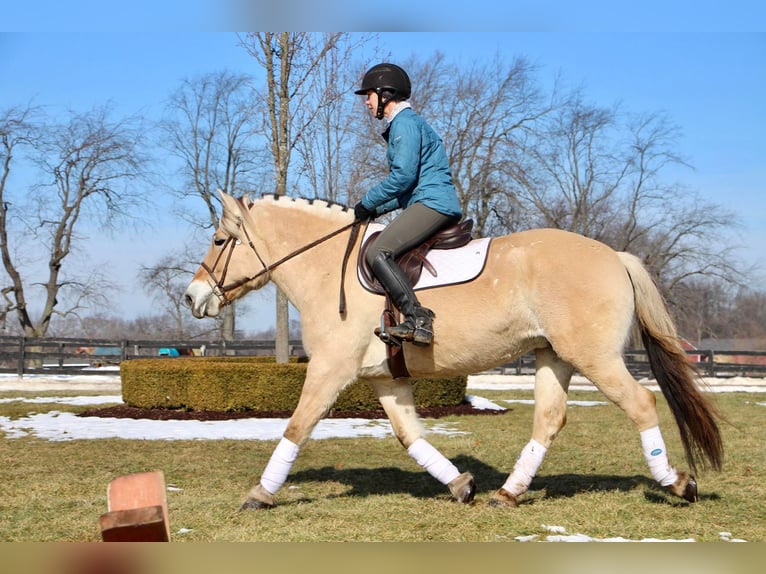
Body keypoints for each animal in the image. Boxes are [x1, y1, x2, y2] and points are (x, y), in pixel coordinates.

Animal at [183, 194, 724, 512]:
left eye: (219, 239)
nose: (191, 298)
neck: (325, 266)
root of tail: (614, 255)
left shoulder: (331, 369)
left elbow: (297, 425)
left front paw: (260, 493)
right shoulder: (384, 377)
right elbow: (410, 437)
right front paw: (461, 485)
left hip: (596, 359)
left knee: (641, 404)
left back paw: (678, 483)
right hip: (553, 357)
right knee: (549, 419)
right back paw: (508, 493)